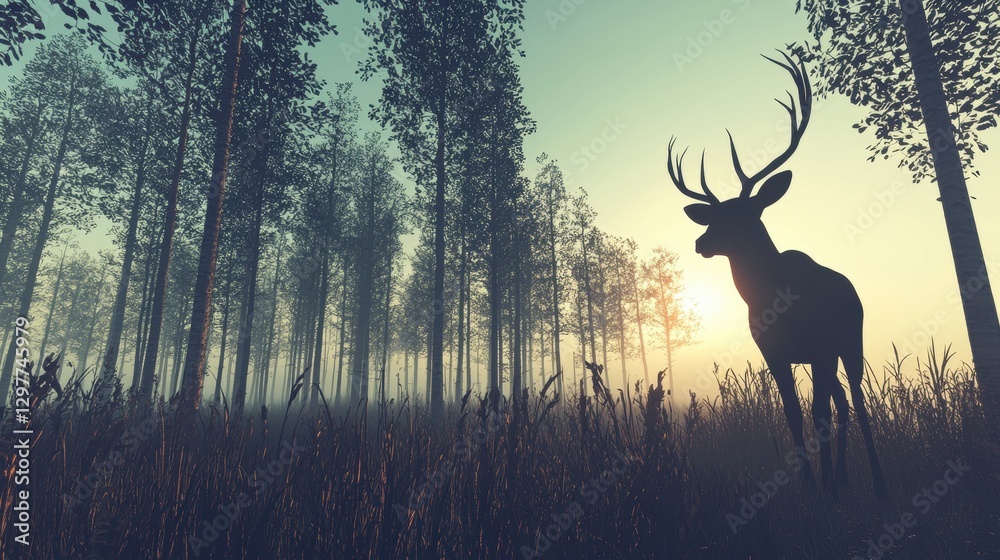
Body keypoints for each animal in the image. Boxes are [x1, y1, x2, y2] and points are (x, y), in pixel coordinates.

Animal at [667, 51, 887, 498]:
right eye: (713, 216)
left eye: (744, 215)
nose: (701, 242)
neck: (774, 300)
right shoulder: (773, 352)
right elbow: (792, 413)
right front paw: (810, 486)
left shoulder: (820, 346)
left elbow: (818, 412)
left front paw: (826, 489)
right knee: (841, 400)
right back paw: (842, 477)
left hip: (850, 340)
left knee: (856, 400)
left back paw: (876, 482)